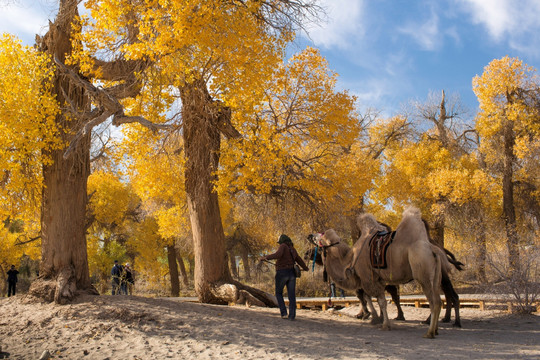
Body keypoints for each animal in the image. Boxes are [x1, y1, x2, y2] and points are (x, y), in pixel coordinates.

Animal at [314, 207, 440, 338]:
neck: (351, 260)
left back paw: (429, 332)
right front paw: (376, 319)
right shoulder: (377, 279)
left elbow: (379, 301)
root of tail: (433, 250)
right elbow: (372, 298)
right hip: (436, 276)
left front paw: (384, 324)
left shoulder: (368, 278)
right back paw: (435, 330)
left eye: (320, 238)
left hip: (423, 273)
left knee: (433, 302)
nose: (310, 235)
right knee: (438, 300)